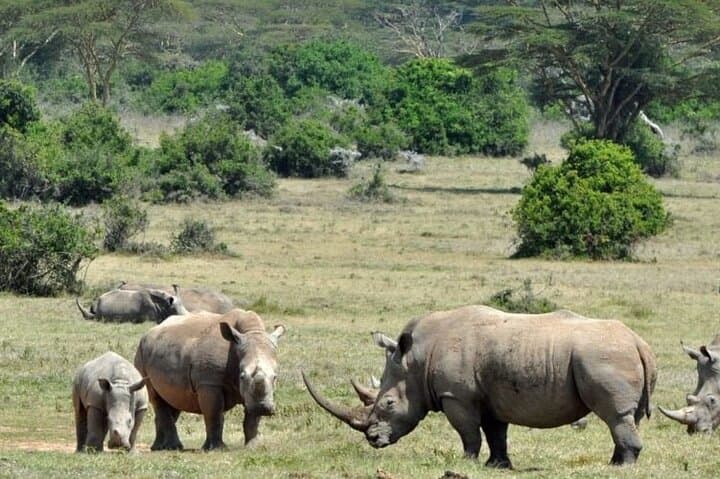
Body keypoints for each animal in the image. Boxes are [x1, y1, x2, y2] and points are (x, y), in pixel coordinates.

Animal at [134, 309, 286, 450]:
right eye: (242, 376)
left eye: (275, 377)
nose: (263, 408)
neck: (251, 331)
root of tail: (148, 332)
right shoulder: (209, 383)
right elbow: (214, 415)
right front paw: (217, 449)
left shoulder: (253, 396)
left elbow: (252, 419)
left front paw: (252, 447)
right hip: (140, 353)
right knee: (156, 398)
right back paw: (174, 447)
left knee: (173, 400)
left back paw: (159, 447)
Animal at [303, 305, 656, 467]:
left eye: (388, 404)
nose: (373, 440)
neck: (417, 360)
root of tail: (640, 342)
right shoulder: (490, 396)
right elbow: (496, 431)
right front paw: (497, 465)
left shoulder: (456, 395)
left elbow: (469, 432)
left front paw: (467, 463)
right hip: (616, 355)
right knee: (628, 418)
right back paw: (614, 463)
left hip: (603, 357)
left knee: (615, 415)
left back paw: (622, 466)